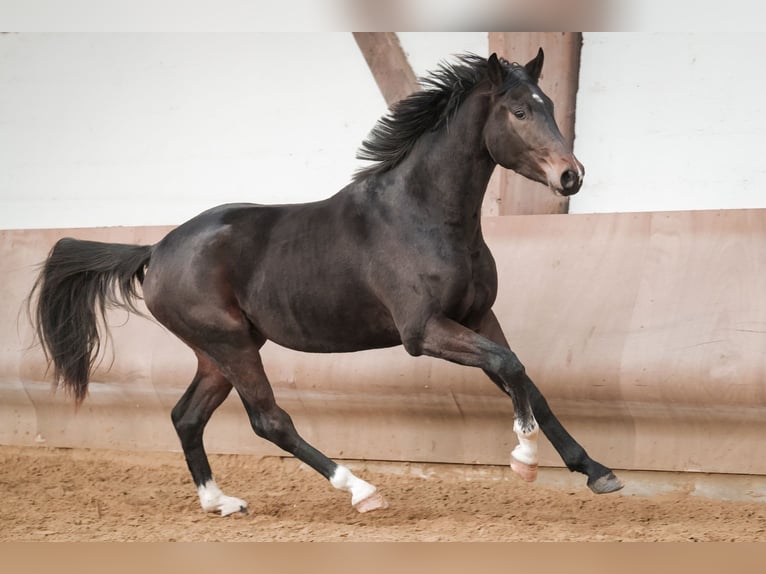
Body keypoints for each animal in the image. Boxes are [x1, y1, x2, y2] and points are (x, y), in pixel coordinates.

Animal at [29, 49, 622, 516]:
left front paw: (597, 471)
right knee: (269, 420)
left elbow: (526, 380)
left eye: (550, 106)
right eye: (519, 111)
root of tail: (156, 250)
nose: (571, 176)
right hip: (231, 344)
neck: (424, 214)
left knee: (187, 416)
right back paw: (360, 489)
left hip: (216, 352)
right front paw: (524, 460)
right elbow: (511, 368)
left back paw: (220, 502)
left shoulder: (478, 316)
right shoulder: (424, 331)